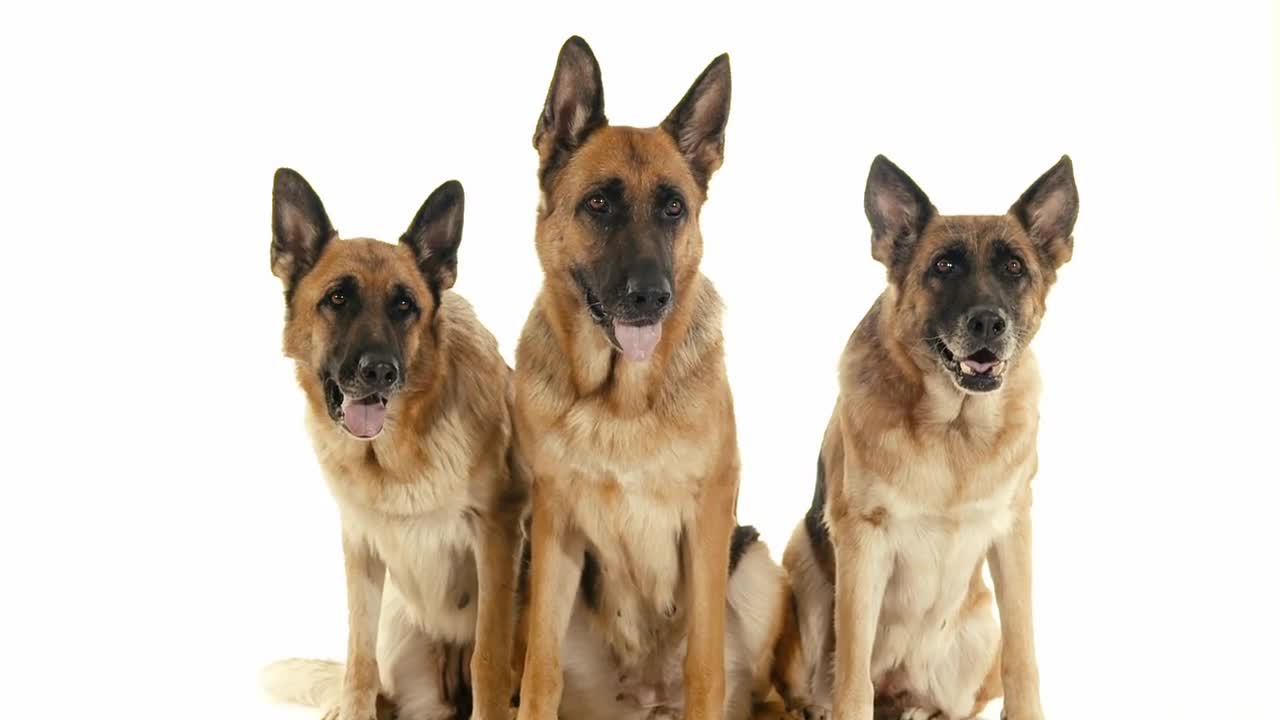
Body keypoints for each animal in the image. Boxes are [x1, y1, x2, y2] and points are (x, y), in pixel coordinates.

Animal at [259, 169, 524, 717]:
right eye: (337, 299)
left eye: (405, 305)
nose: (380, 371)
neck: (397, 452)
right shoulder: (360, 545)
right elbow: (359, 664)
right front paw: (352, 706)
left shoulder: (498, 535)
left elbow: (488, 658)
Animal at [509, 37, 788, 717]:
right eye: (599, 204)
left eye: (673, 209)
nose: (651, 298)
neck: (621, 402)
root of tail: (645, 698)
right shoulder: (553, 522)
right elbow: (540, 672)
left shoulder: (709, 514)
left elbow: (704, 666)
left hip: (756, 569)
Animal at [773, 154, 1075, 712]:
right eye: (944, 267)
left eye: (1014, 268)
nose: (987, 323)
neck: (955, 429)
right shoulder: (862, 541)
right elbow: (853, 674)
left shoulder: (1013, 531)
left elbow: (1023, 653)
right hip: (804, 569)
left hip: (979, 629)